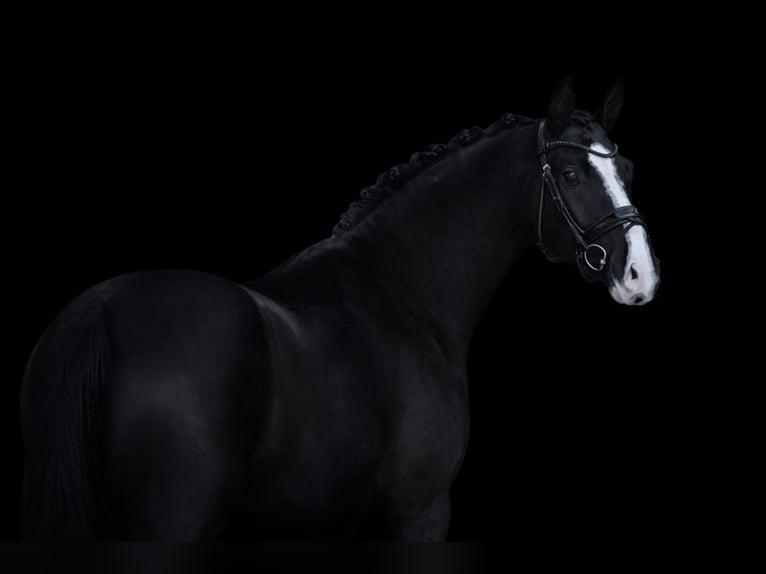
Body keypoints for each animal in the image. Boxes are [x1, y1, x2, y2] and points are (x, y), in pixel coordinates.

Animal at [19, 77, 660, 541]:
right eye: (572, 173)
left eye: (626, 169)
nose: (641, 276)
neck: (399, 294)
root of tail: (97, 313)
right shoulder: (420, 512)